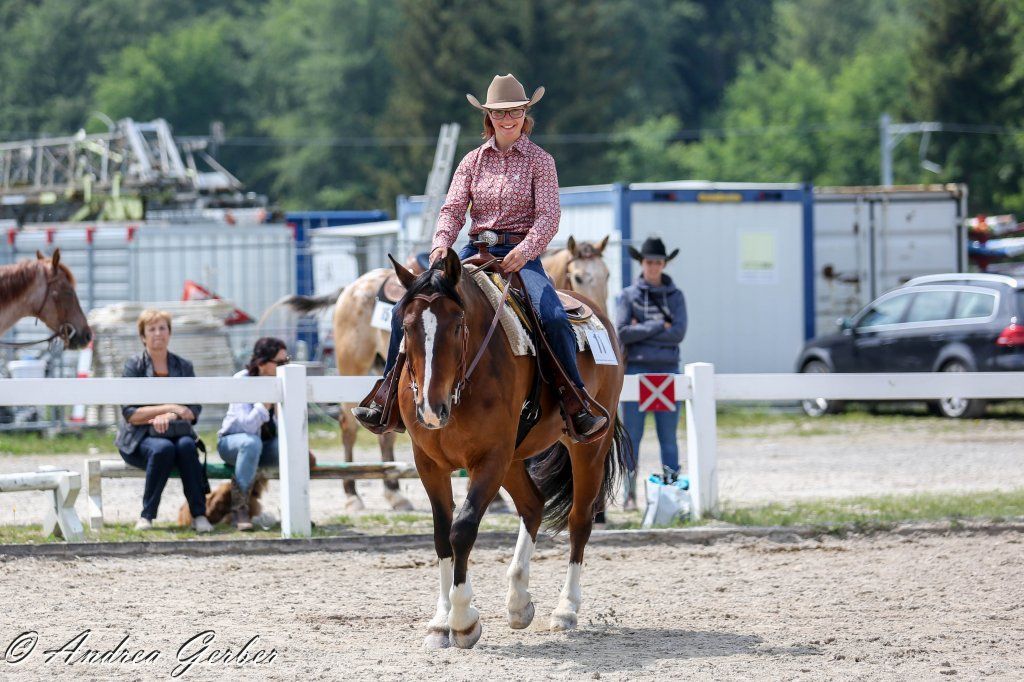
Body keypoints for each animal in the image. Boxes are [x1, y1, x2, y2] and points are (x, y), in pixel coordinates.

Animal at [389, 248, 630, 650]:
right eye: (406, 327)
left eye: (458, 325)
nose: (430, 409)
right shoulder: (429, 463)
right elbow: (441, 534)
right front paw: (440, 622)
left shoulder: (489, 459)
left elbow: (462, 529)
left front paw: (463, 622)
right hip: (515, 459)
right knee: (533, 505)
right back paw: (518, 602)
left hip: (587, 449)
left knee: (579, 520)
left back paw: (565, 610)